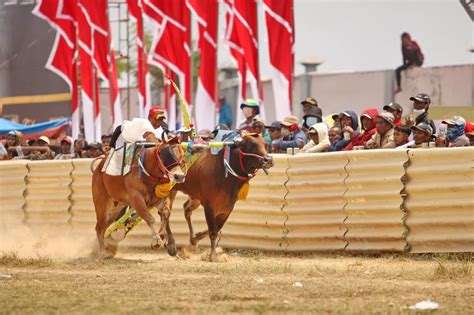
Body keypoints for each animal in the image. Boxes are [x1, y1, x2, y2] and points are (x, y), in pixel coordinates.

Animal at [168, 133, 272, 262]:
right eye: (252, 144)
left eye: (265, 144)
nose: (268, 159)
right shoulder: (209, 206)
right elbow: (213, 231)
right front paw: (213, 256)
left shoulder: (227, 208)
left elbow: (216, 228)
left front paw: (197, 239)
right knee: (165, 214)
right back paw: (169, 244)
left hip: (195, 197)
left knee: (186, 209)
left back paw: (191, 241)